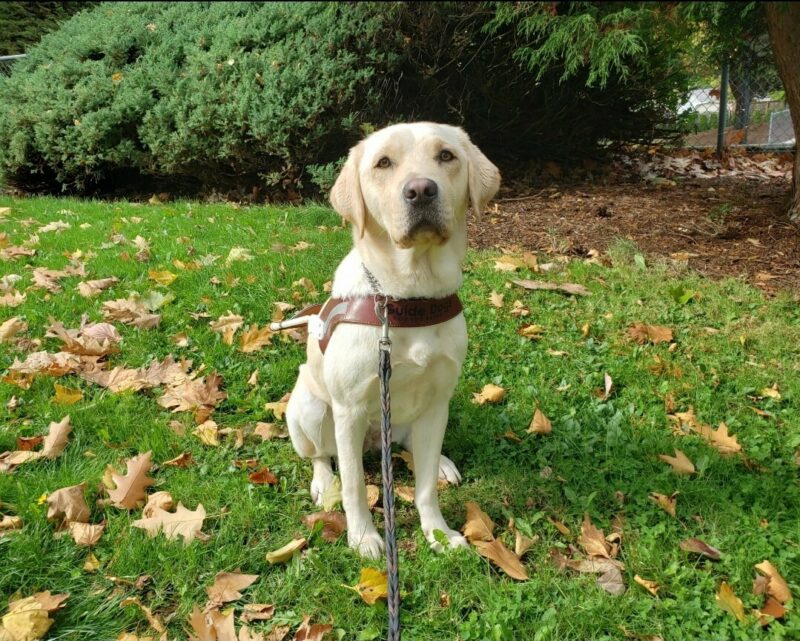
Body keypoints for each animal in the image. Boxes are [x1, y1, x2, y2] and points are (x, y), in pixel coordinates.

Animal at [288, 120, 500, 556]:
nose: (420, 190)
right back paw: (323, 481)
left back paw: (442, 464)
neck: (409, 299)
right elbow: (354, 487)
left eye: (446, 156)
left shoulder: (437, 401)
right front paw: (364, 537)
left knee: (413, 447)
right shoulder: (349, 410)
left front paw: (438, 532)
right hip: (311, 408)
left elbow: (424, 489)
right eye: (383, 163)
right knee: (321, 455)